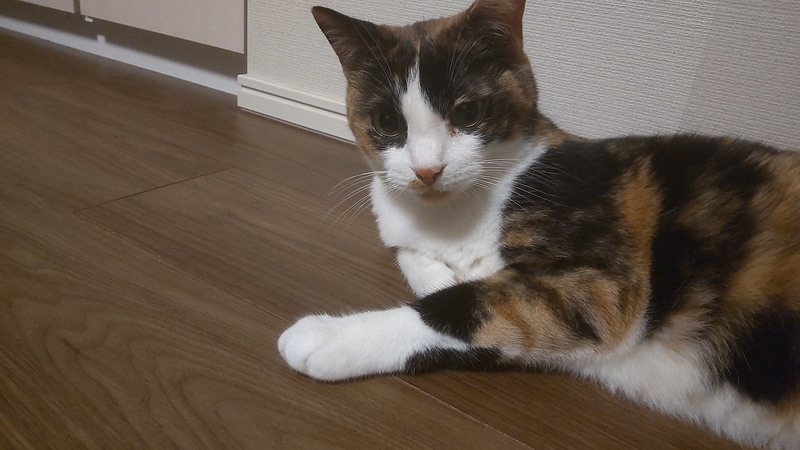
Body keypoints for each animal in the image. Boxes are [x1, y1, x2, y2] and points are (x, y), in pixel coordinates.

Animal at [277, 0, 800, 447]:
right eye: (388, 121)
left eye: (467, 112)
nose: (427, 170)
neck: (452, 215)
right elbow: (418, 261)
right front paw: (444, 274)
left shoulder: (600, 283)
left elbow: (459, 305)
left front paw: (327, 337)